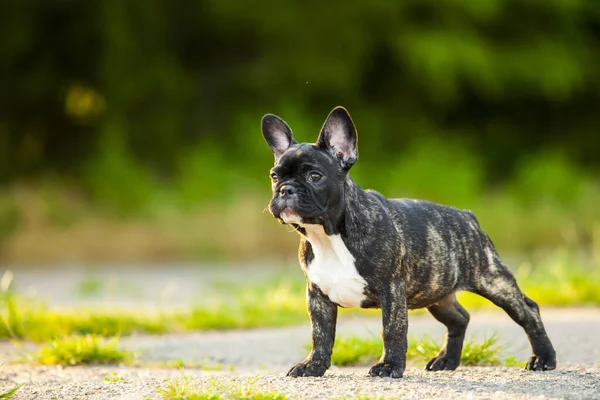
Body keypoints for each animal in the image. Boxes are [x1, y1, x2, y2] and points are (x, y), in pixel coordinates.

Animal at [260, 106, 556, 378]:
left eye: (315, 176)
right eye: (274, 176)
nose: (285, 189)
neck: (328, 235)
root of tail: (467, 216)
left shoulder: (391, 291)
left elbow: (392, 330)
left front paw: (389, 366)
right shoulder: (317, 296)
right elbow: (320, 334)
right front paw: (313, 366)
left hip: (492, 280)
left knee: (527, 310)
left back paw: (543, 358)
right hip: (436, 292)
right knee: (460, 317)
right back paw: (447, 360)